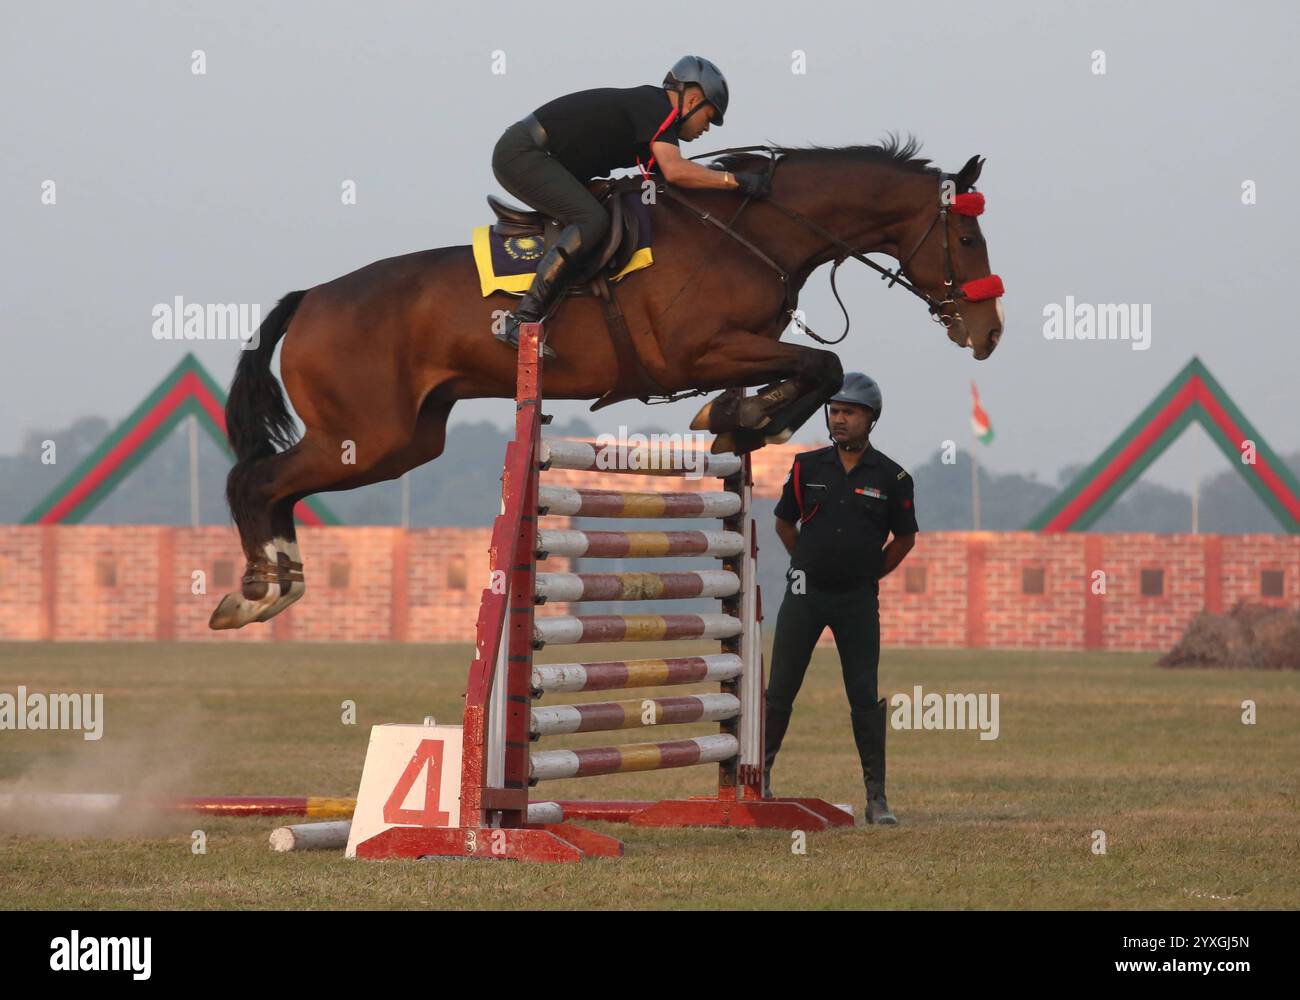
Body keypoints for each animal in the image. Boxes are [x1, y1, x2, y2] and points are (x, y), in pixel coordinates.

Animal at [210, 138, 1003, 631]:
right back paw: (255, 596)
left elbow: (815, 369)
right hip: (365, 438)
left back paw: (279, 582)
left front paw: (743, 418)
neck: (752, 231)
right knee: (254, 481)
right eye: (967, 239)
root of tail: (310, 299)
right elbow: (820, 366)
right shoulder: (701, 351)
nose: (988, 333)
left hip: (402, 442)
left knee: (277, 487)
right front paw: (753, 417)